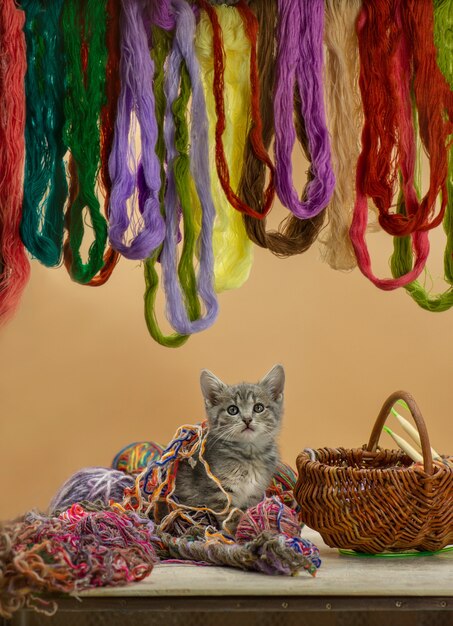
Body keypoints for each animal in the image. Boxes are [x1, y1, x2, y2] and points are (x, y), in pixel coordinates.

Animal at [173, 364, 282, 520]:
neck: (249, 455)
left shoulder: (254, 494)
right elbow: (230, 518)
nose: (247, 419)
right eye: (232, 410)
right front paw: (236, 527)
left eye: (258, 407)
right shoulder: (220, 493)